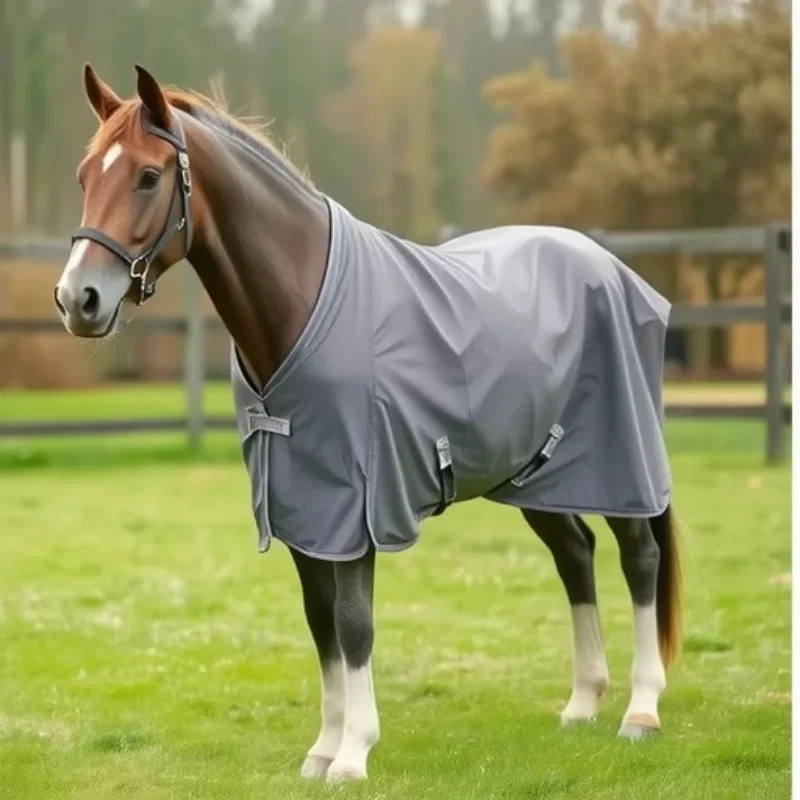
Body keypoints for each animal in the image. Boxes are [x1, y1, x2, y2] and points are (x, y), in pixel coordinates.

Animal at [54, 64, 682, 782]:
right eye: (84, 176)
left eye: (149, 176)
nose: (77, 300)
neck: (299, 304)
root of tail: (611, 268)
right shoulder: (303, 511)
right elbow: (321, 620)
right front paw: (323, 749)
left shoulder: (358, 509)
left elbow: (355, 623)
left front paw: (354, 753)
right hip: (534, 473)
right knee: (574, 554)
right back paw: (582, 703)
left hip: (619, 462)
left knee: (640, 558)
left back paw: (641, 710)